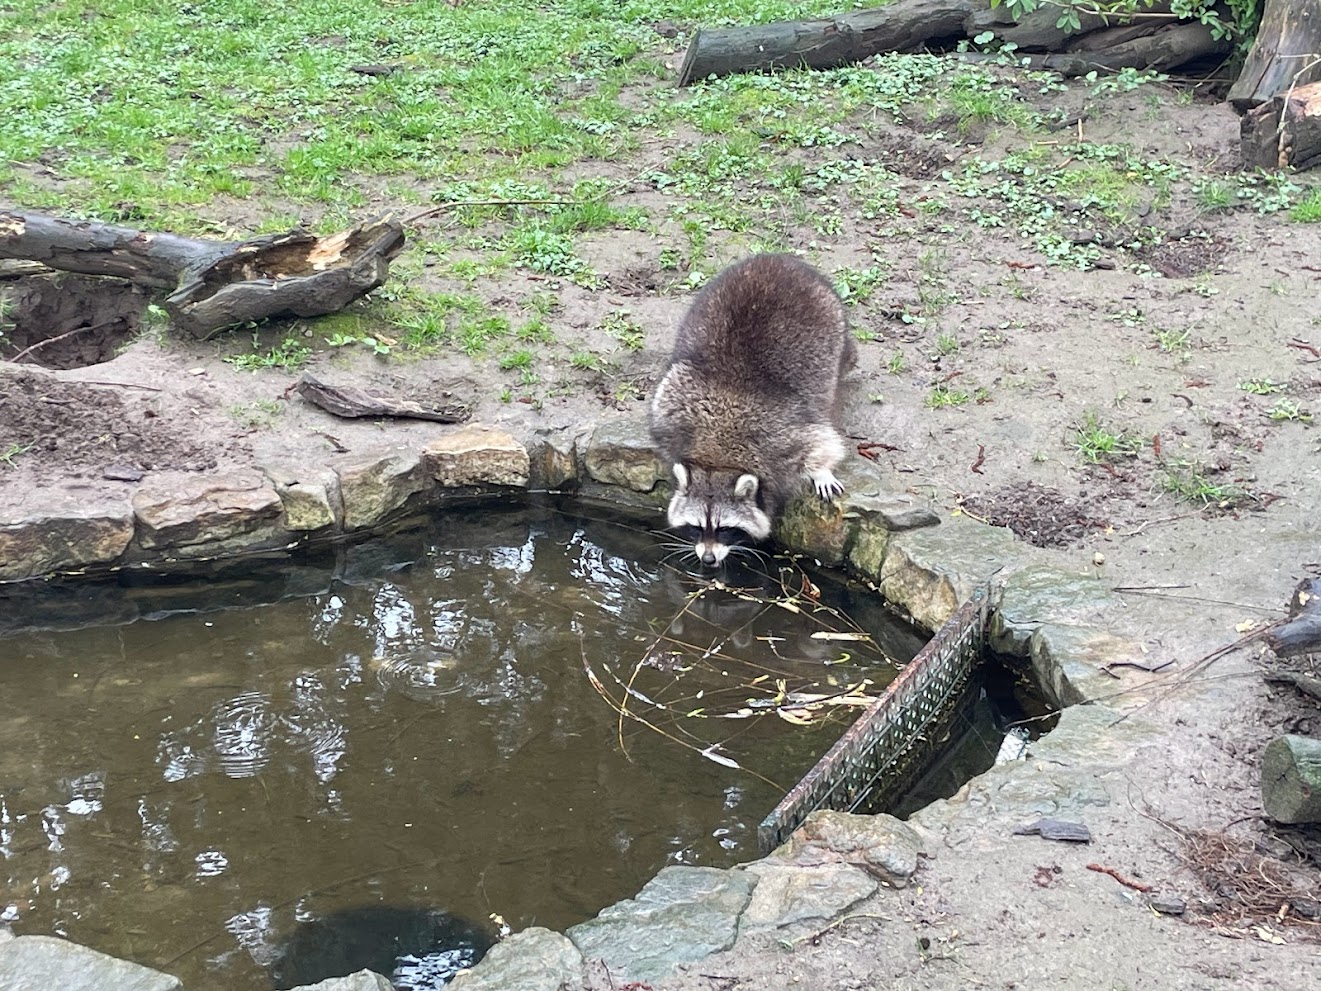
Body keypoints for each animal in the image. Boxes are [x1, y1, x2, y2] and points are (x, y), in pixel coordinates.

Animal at [649, 253, 855, 567]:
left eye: (725, 529)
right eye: (696, 527)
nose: (708, 559)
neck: (718, 459)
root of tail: (777, 257)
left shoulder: (782, 438)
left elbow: (820, 442)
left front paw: (822, 470)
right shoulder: (671, 414)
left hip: (830, 316)